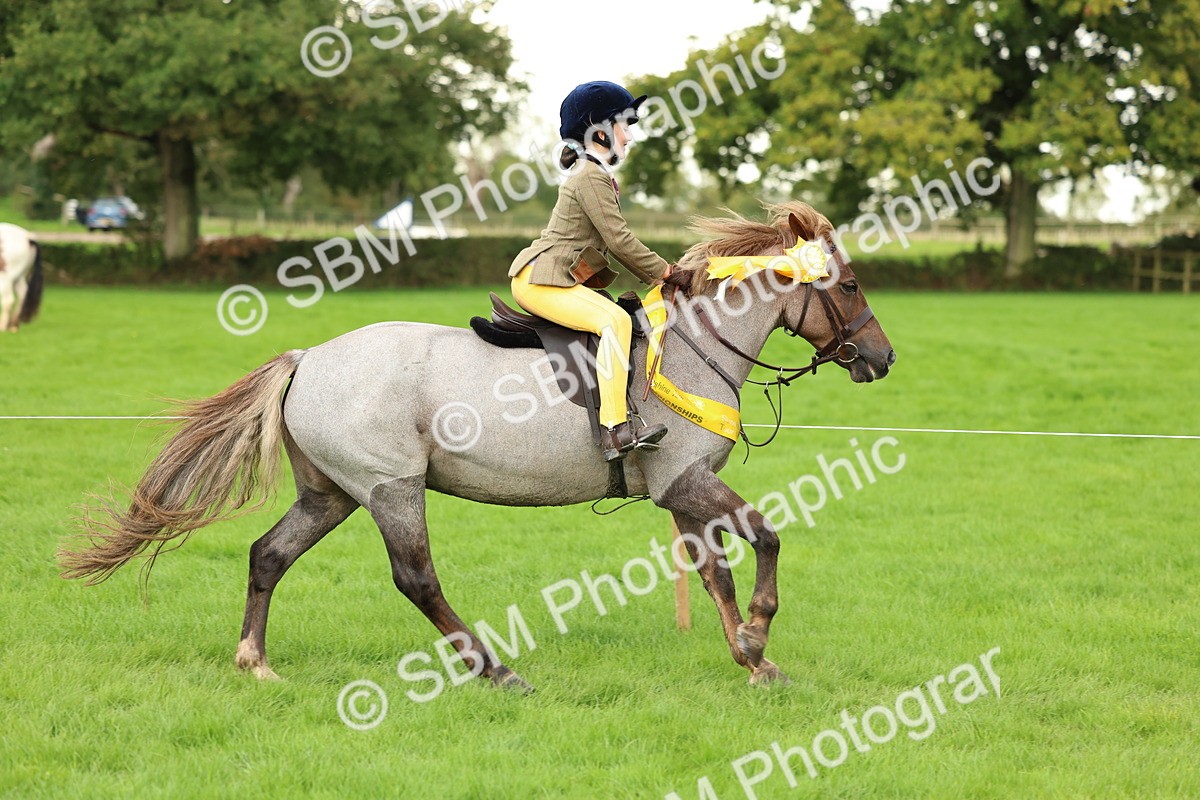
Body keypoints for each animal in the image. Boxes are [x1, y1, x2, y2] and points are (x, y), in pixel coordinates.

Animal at [59, 201, 895, 689]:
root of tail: (309, 359)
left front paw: (753, 658)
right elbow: (768, 539)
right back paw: (495, 670)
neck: (695, 345)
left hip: (330, 493)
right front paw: (757, 634)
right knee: (416, 578)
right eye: (851, 287)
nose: (882, 361)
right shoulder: (685, 482)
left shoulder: (681, 490)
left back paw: (255, 663)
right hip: (391, 488)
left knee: (269, 555)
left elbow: (716, 573)